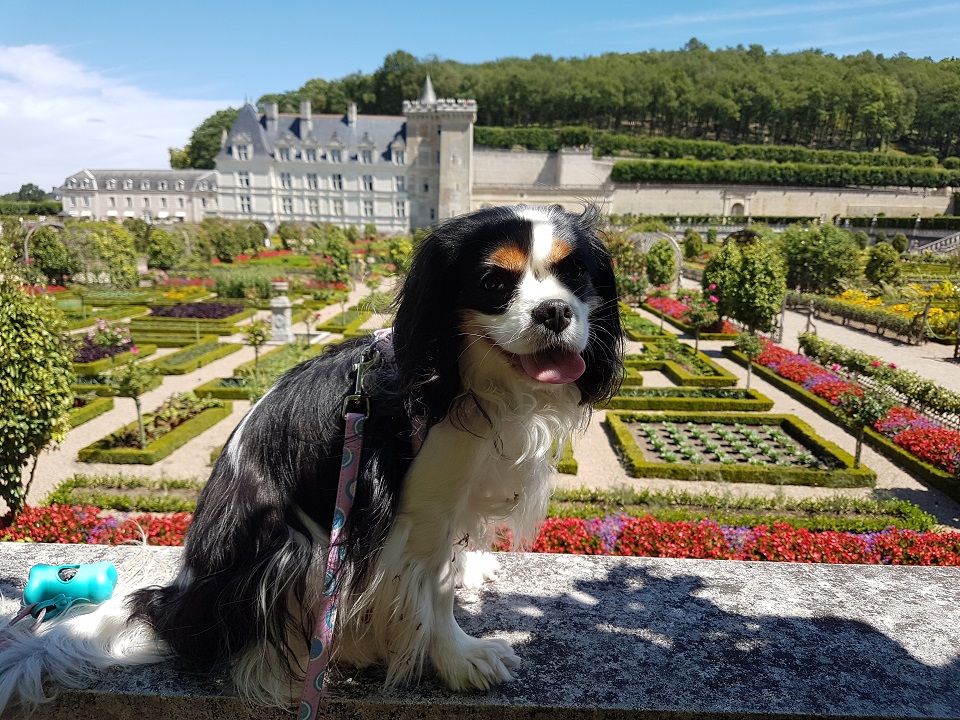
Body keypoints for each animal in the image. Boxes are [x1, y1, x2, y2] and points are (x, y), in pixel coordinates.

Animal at [0, 202, 624, 708]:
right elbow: (431, 588)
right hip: (294, 550)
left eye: (574, 274)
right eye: (494, 282)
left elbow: (451, 560)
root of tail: (178, 601)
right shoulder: (420, 513)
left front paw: (469, 570)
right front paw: (459, 657)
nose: (554, 312)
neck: (472, 375)